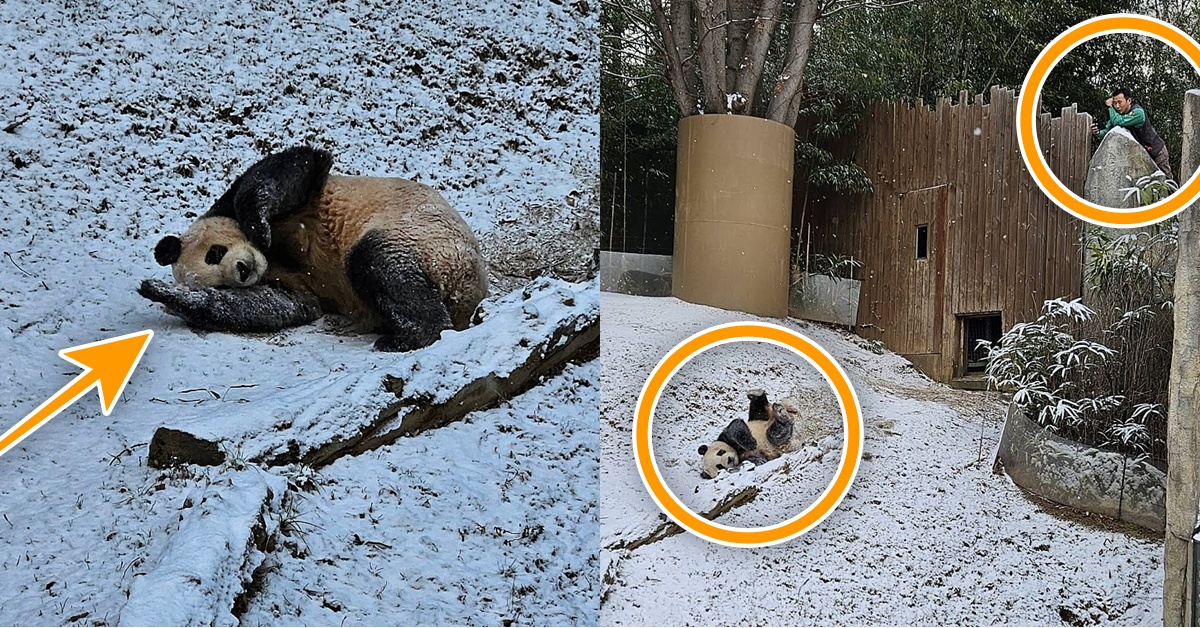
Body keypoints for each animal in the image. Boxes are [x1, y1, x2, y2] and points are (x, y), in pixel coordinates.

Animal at [141, 148, 492, 353]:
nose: (242, 270)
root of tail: (466, 292)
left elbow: (292, 168)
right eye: (219, 280)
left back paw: (410, 335)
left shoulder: (293, 202)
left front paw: (258, 225)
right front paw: (163, 292)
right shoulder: (293, 284)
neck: (274, 259)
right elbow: (268, 305)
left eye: (214, 253)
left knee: (376, 262)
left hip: (426, 237)